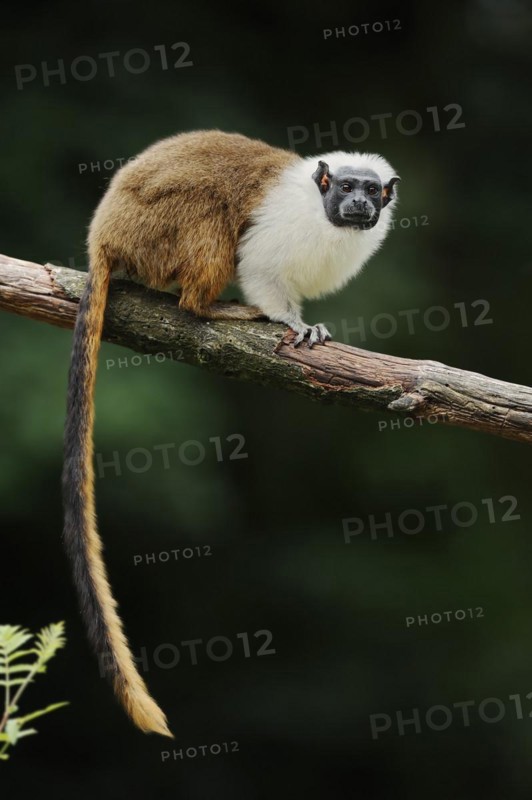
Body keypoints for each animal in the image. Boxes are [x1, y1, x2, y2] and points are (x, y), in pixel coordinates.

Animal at [62, 130, 399, 738]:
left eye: (369, 190)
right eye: (344, 188)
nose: (360, 205)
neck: (323, 215)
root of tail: (104, 236)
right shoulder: (281, 228)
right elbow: (260, 264)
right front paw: (290, 322)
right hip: (155, 230)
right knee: (211, 221)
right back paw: (207, 307)